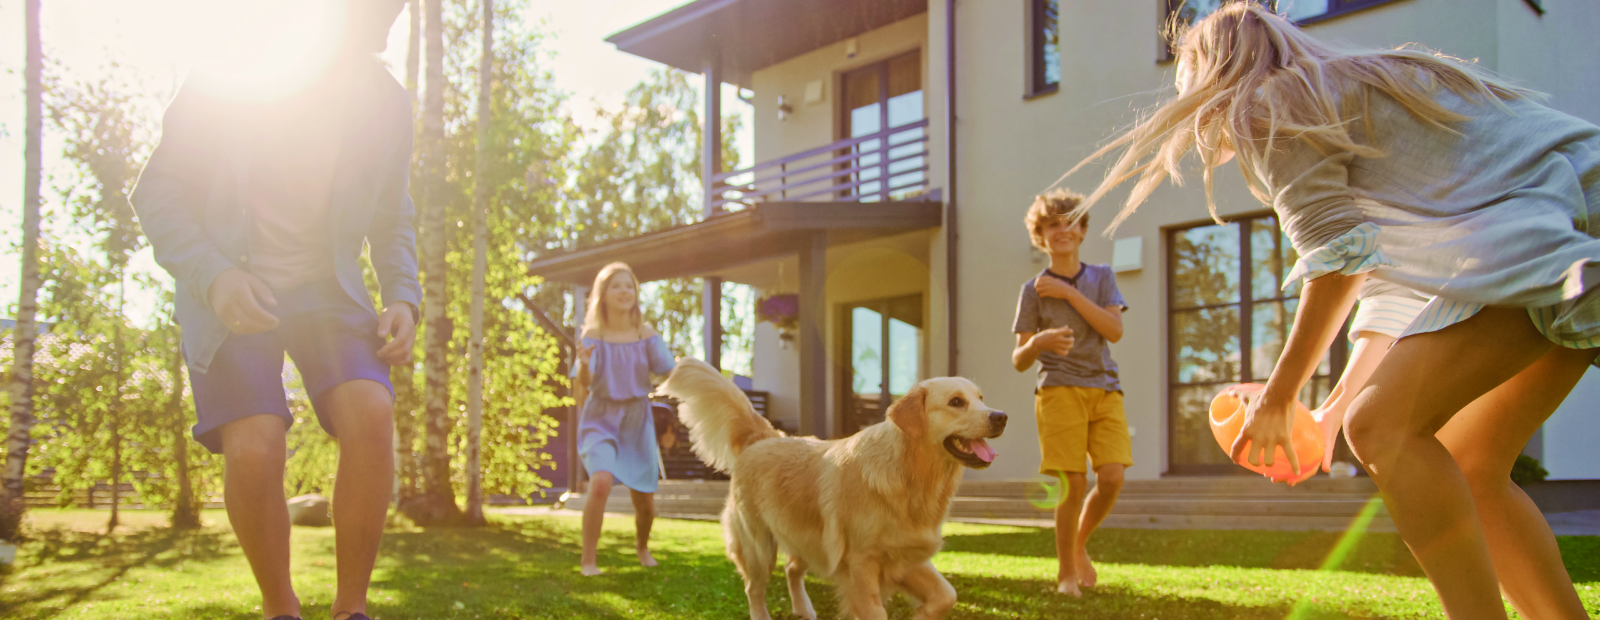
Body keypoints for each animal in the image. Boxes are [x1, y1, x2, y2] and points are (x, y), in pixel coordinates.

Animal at [656, 357, 1004, 620]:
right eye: (956, 402)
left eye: (981, 398)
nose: (1001, 416)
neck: (910, 474)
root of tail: (767, 436)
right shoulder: (862, 564)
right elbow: (876, 611)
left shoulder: (906, 556)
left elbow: (948, 594)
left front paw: (922, 615)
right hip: (759, 546)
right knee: (754, 588)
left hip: (807, 538)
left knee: (792, 569)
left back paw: (804, 609)